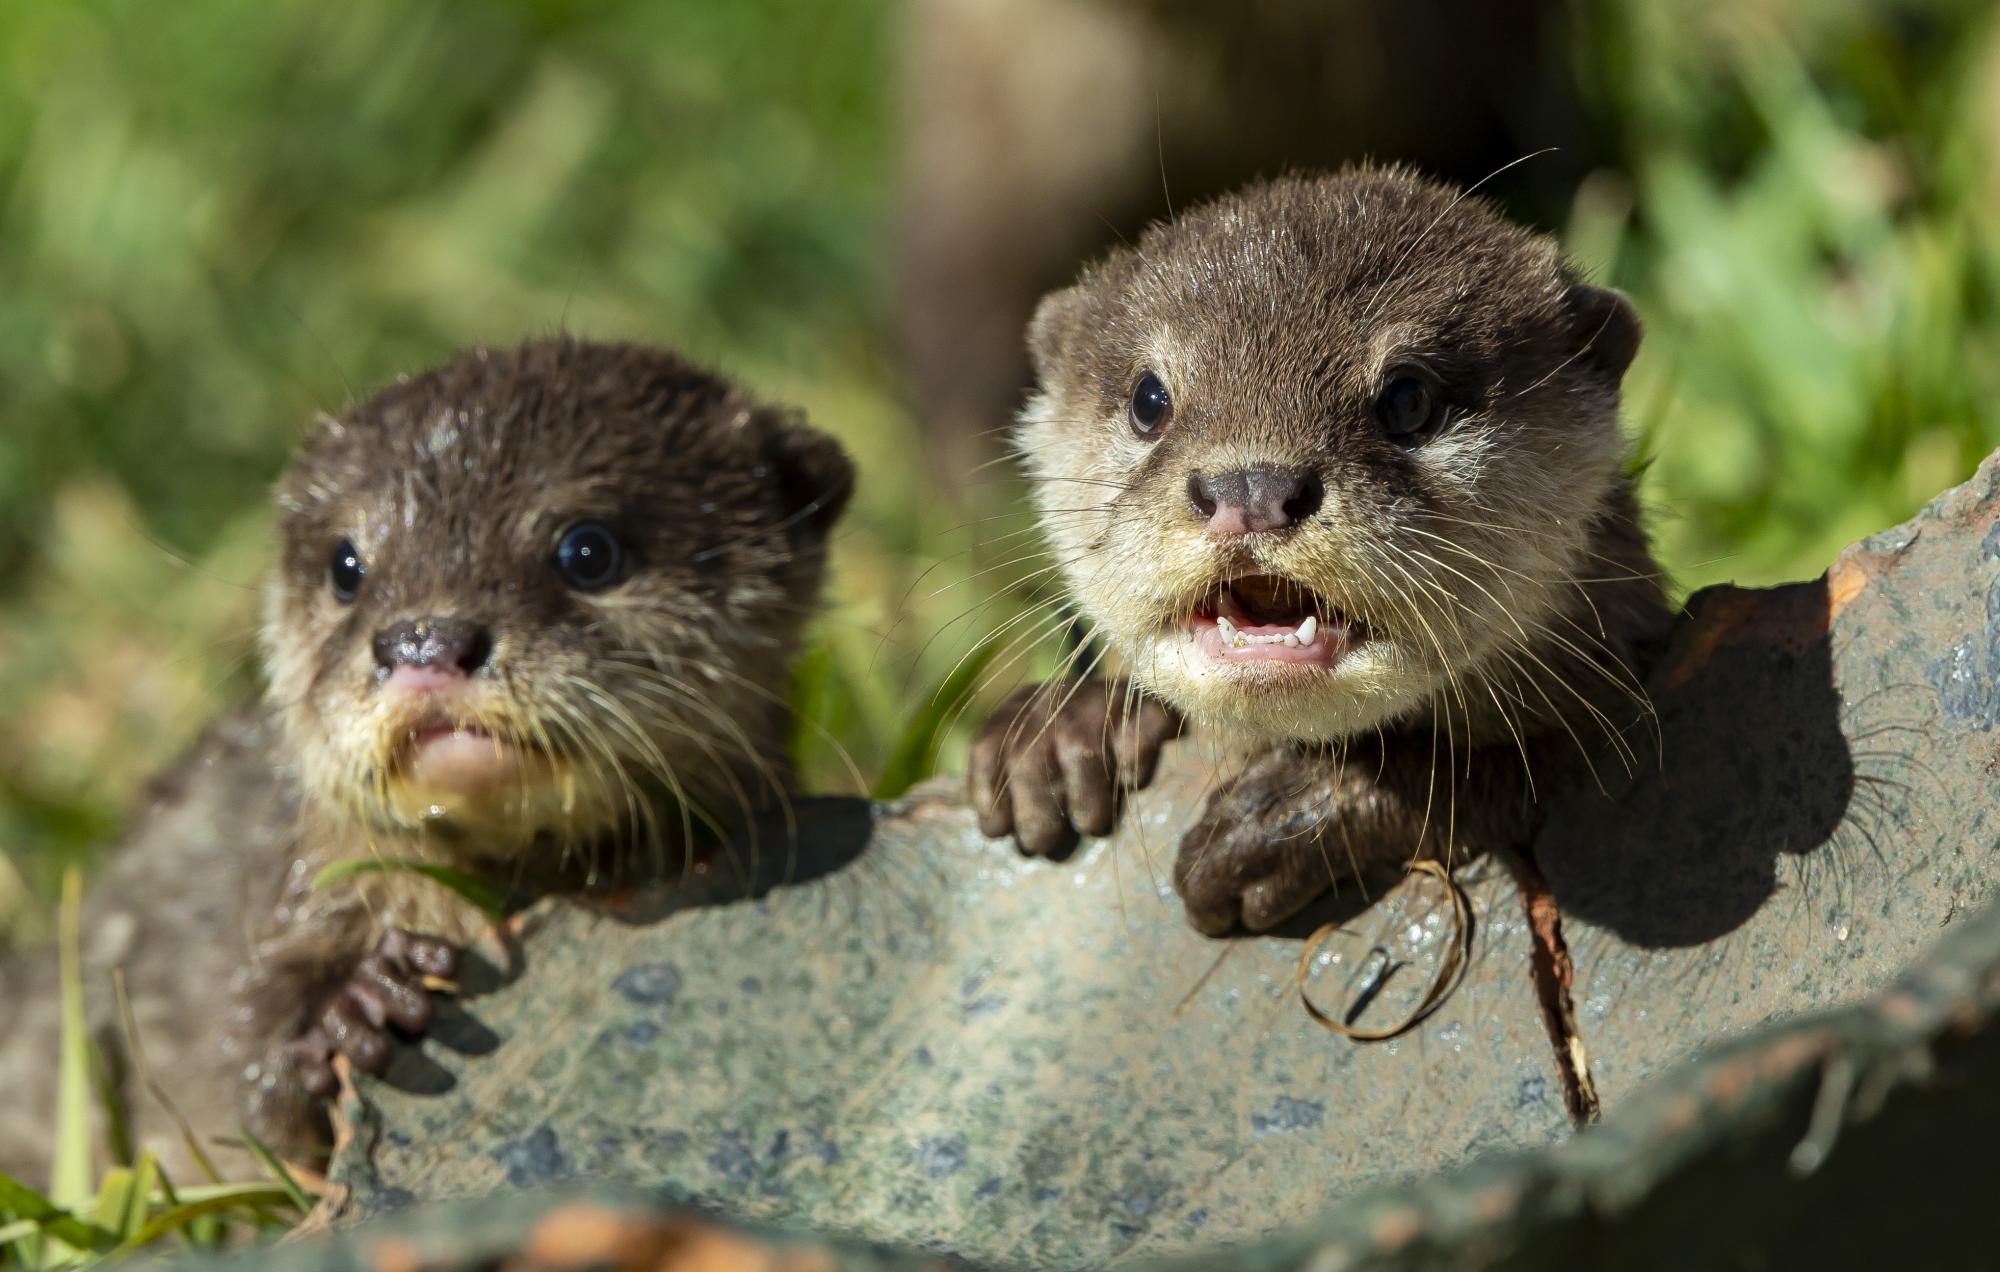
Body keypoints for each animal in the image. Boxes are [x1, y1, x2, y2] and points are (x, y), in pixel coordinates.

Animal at [976, 166, 1664, 936]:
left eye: (1407, 398)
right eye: (1148, 400)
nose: (1251, 488)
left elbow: (1514, 768)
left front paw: (1277, 821)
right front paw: (1058, 734)